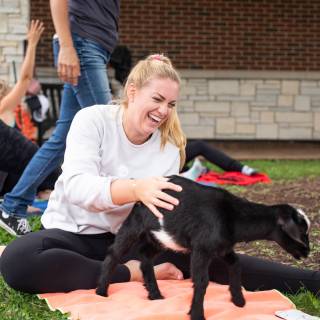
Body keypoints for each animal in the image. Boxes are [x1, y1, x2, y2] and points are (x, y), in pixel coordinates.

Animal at [97, 176, 310, 318]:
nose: (307, 252)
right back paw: (101, 292)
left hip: (162, 237)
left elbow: (236, 263)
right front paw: (197, 314)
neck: (233, 216)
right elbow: (202, 281)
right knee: (114, 254)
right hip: (135, 225)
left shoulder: (222, 247)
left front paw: (239, 301)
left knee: (145, 257)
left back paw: (155, 294)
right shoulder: (202, 249)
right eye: (302, 233)